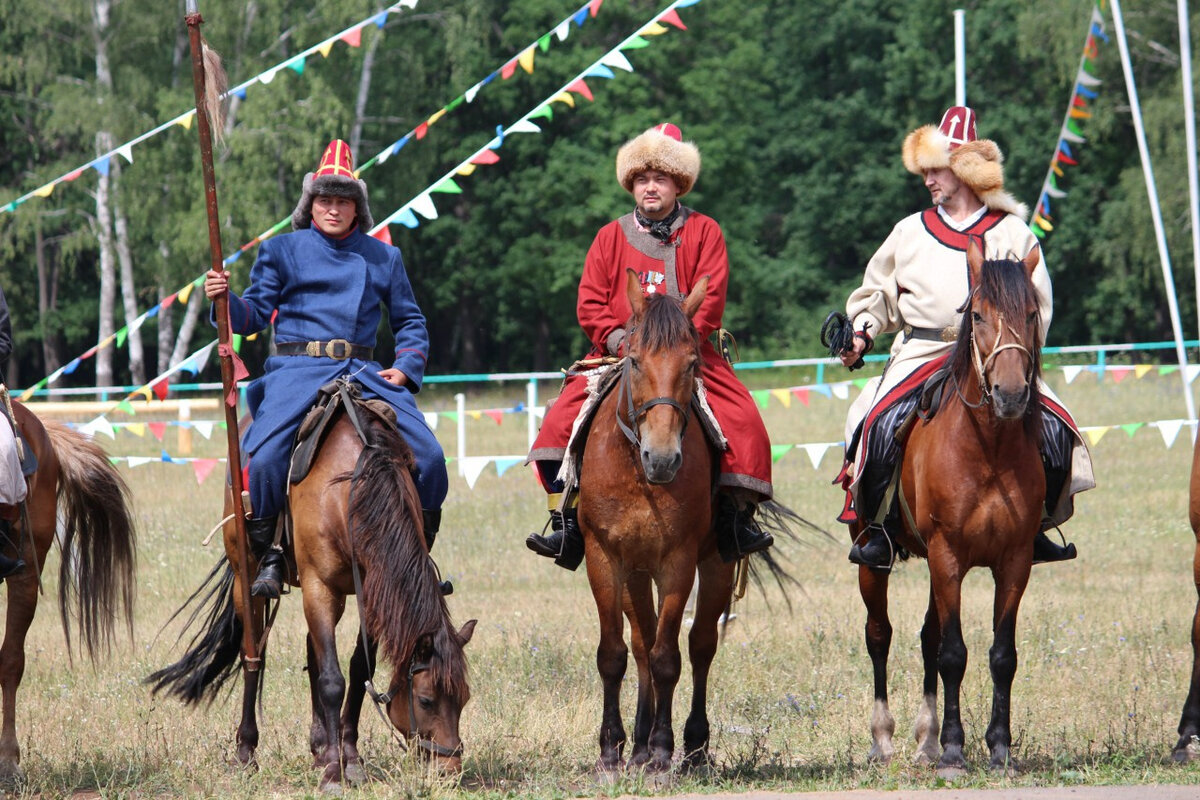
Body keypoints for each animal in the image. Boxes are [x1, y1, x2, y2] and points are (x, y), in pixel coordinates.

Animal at [147, 388, 470, 796]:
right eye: (426, 700)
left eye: (464, 698)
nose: (450, 769)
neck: (351, 490)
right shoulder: (319, 587)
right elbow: (333, 680)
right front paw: (334, 773)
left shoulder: (372, 592)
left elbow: (357, 669)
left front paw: (349, 758)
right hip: (246, 578)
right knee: (254, 656)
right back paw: (247, 752)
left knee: (311, 650)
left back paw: (320, 746)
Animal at [580, 271, 787, 777]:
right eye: (634, 360)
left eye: (692, 363)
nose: (663, 458)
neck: (637, 473)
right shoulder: (604, 559)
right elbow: (615, 654)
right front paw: (612, 749)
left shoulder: (679, 563)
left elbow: (668, 657)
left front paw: (660, 750)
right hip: (636, 573)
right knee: (640, 643)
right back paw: (636, 745)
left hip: (714, 566)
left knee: (699, 645)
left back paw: (692, 745)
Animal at [854, 241, 1051, 777]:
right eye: (977, 314)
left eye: (1032, 314)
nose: (1010, 394)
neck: (988, 450)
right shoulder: (947, 555)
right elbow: (953, 653)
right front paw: (954, 751)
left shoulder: (1014, 562)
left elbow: (1000, 654)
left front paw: (998, 748)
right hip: (875, 559)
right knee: (879, 635)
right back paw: (883, 739)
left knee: (926, 636)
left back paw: (925, 739)